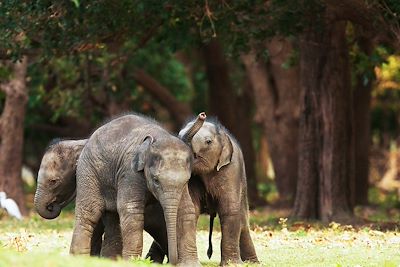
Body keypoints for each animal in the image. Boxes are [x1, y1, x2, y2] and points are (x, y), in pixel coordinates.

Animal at [69, 113, 199, 266]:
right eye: (155, 180)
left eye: (187, 181)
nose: (172, 262)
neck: (158, 138)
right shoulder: (130, 171)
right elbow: (131, 209)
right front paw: (132, 263)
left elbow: (186, 209)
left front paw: (191, 264)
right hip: (88, 171)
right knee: (90, 212)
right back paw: (79, 259)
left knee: (113, 217)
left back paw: (111, 261)